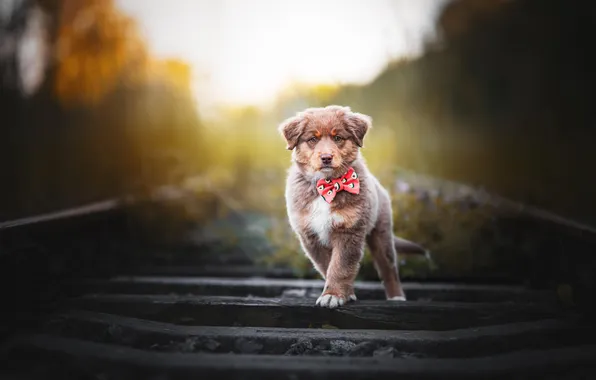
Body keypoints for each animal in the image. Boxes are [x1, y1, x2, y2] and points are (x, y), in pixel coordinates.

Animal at [280, 104, 428, 308]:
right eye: (312, 139)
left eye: (338, 138)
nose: (326, 157)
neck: (328, 185)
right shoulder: (311, 237)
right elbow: (328, 266)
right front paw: (343, 293)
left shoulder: (349, 231)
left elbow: (340, 267)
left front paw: (333, 294)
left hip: (382, 236)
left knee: (389, 269)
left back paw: (396, 297)